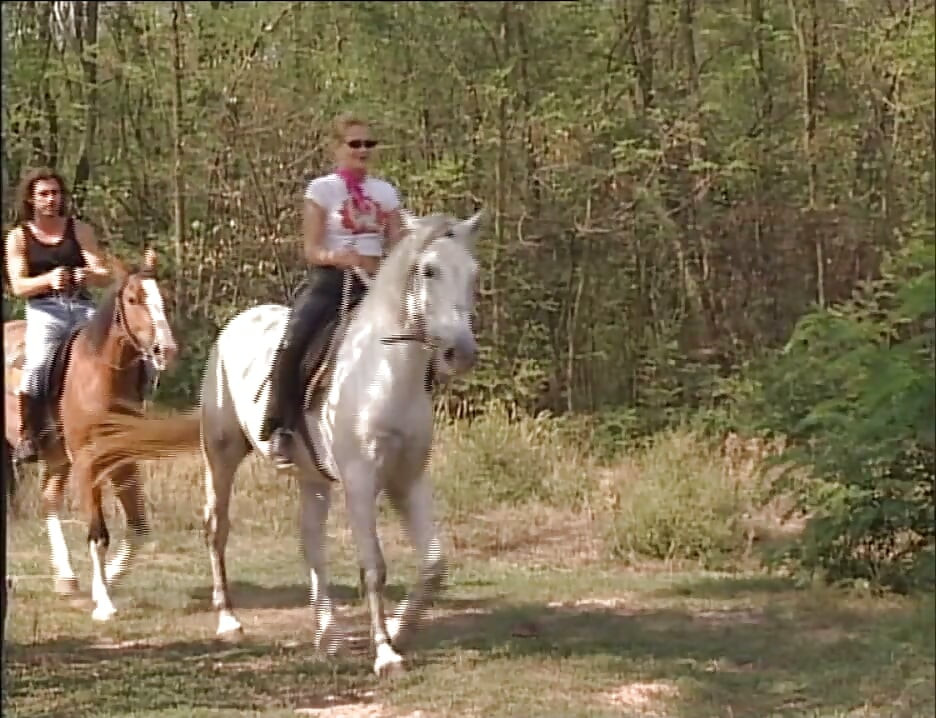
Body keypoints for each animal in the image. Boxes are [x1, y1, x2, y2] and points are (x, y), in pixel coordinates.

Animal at [3, 248, 178, 621]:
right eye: (132, 298)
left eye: (164, 297)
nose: (165, 350)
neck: (98, 375)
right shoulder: (88, 463)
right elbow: (98, 533)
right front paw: (104, 602)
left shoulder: (123, 461)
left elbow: (139, 528)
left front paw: (107, 579)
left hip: (56, 456)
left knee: (49, 499)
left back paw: (67, 578)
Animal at [84, 211, 484, 676]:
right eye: (429, 270)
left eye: (472, 272)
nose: (461, 353)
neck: (384, 374)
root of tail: (239, 322)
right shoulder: (361, 483)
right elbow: (374, 567)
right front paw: (385, 653)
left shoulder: (408, 480)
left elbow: (434, 564)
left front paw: (401, 628)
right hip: (221, 454)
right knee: (217, 528)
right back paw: (229, 621)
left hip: (313, 477)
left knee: (310, 541)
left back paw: (328, 634)